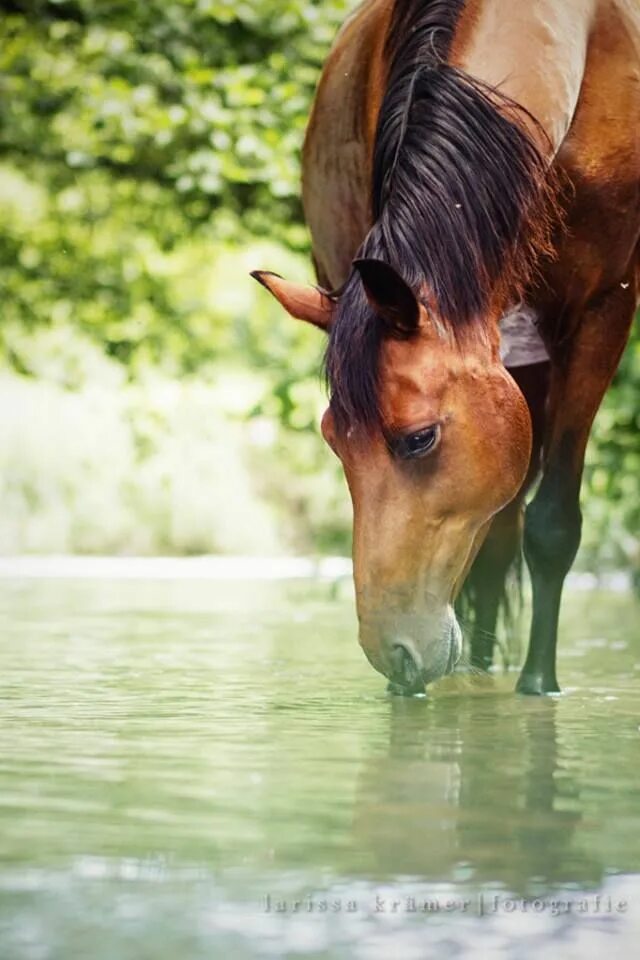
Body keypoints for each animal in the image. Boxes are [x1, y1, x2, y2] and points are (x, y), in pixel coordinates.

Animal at [252, 0, 636, 692]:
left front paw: (539, 685)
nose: (392, 653)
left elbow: (553, 525)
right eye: (332, 440)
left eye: (420, 438)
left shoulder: (605, 309)